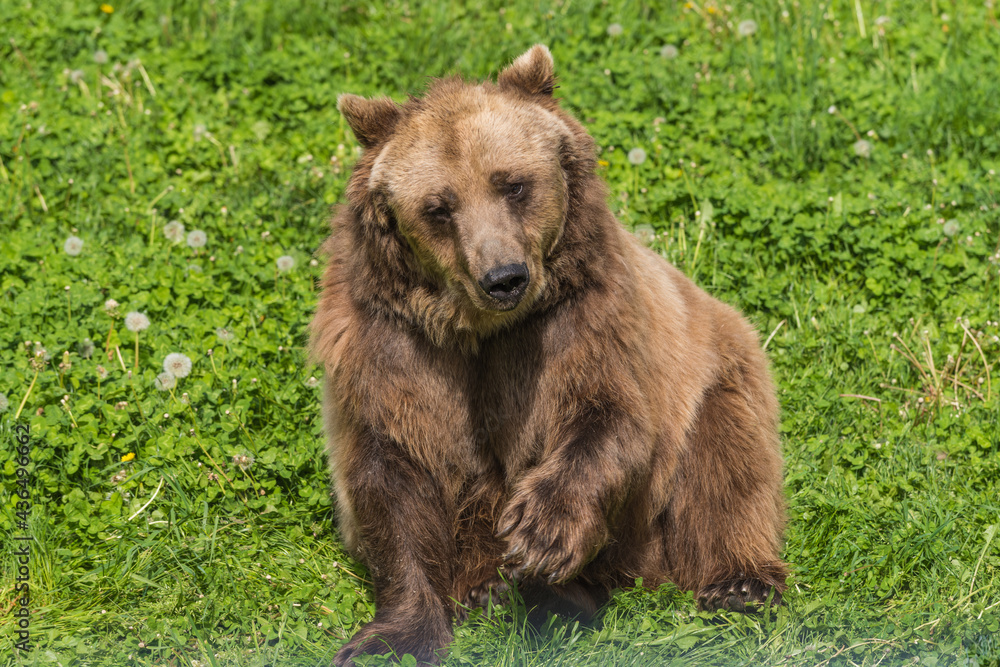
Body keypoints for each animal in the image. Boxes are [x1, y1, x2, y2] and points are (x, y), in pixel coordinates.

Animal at [308, 44, 784, 664]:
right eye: (439, 207)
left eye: (512, 184)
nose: (503, 278)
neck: (478, 331)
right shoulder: (388, 347)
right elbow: (391, 477)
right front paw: (392, 638)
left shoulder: (580, 321)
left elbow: (607, 419)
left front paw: (543, 533)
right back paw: (497, 592)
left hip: (714, 371)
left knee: (725, 465)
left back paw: (734, 583)